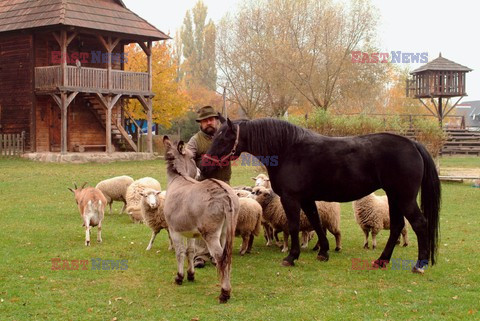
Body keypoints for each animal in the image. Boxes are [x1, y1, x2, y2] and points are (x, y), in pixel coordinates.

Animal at [201, 118, 440, 272]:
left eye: (223, 139)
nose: (204, 167)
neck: (288, 150)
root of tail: (413, 144)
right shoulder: (307, 199)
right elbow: (315, 223)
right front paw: (323, 252)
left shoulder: (291, 199)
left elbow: (295, 226)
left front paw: (291, 256)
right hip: (393, 197)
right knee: (398, 226)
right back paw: (382, 261)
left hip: (404, 198)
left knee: (419, 224)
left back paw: (419, 265)